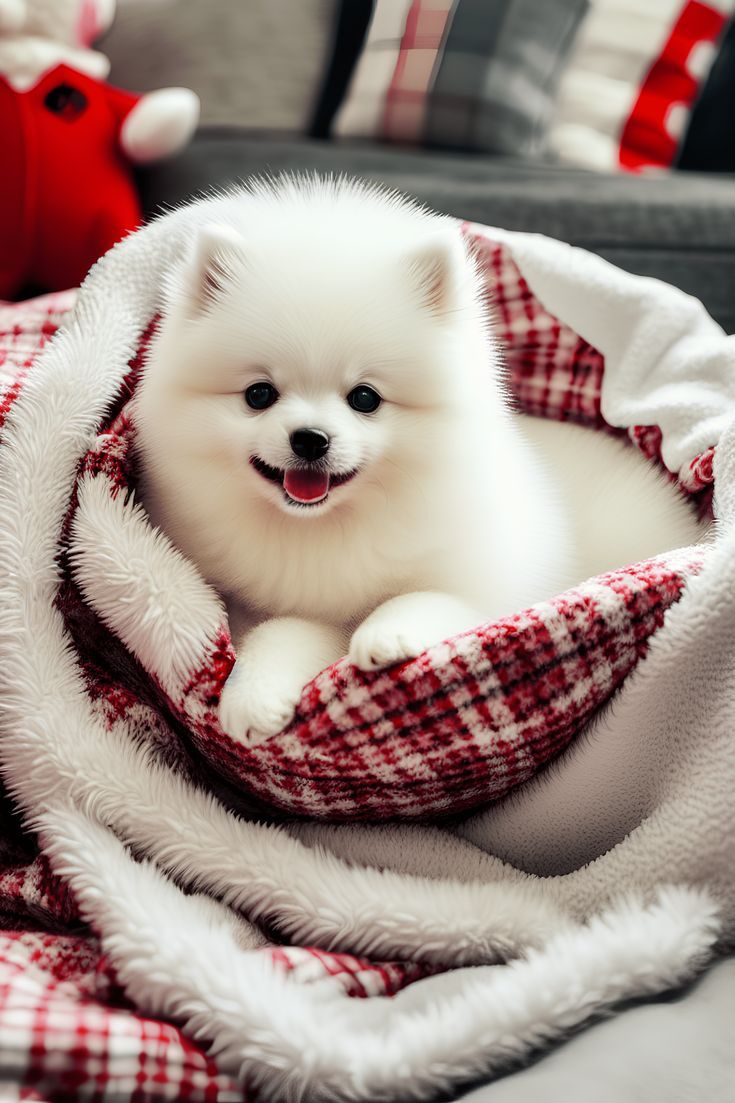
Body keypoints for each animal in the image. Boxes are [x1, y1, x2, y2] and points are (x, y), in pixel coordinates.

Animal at [134, 180, 701, 745]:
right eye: (259, 394)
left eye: (365, 398)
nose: (310, 439)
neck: (324, 528)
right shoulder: (257, 603)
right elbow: (281, 629)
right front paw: (253, 695)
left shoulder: (491, 583)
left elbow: (431, 598)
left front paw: (388, 633)